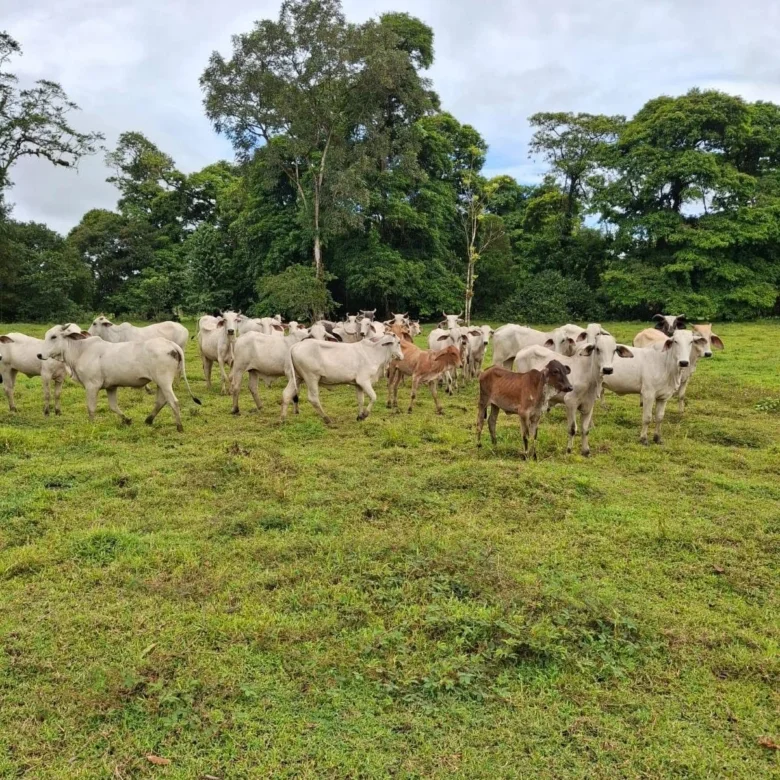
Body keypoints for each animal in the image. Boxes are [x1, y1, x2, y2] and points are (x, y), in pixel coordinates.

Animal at [37, 331, 200, 431]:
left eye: (53, 337)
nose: (39, 355)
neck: (81, 351)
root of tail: (171, 345)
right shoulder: (111, 387)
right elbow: (113, 406)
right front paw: (126, 420)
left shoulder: (92, 386)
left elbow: (91, 408)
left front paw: (92, 424)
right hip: (161, 383)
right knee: (161, 401)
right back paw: (148, 420)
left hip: (164, 381)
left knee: (174, 402)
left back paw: (179, 426)